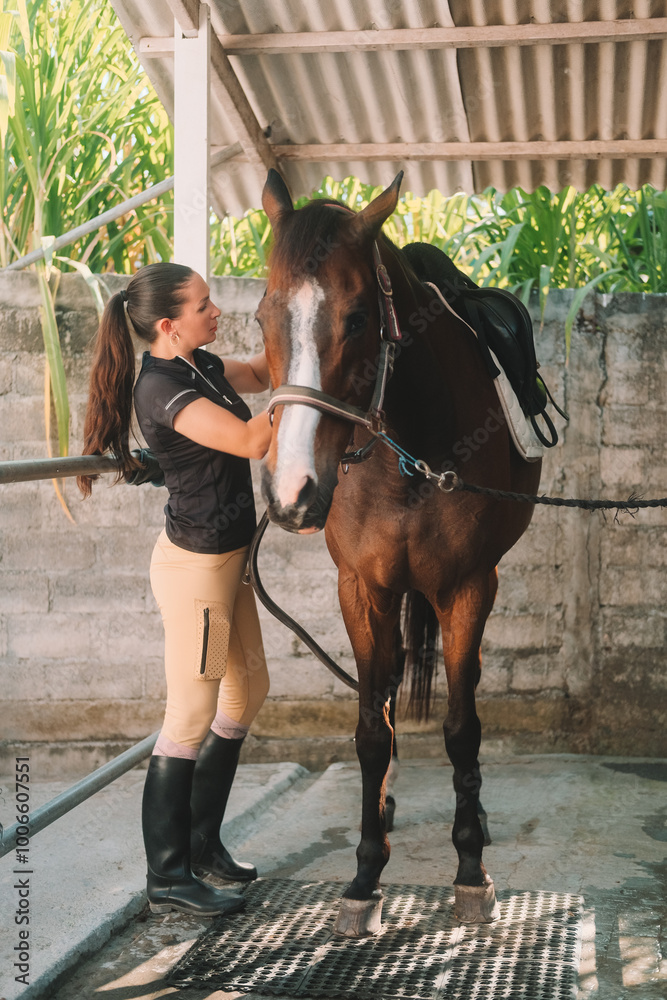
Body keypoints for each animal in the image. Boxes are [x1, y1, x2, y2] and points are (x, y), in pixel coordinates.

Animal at [256, 169, 542, 937]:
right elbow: (370, 730)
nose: (292, 492)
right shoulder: (362, 588)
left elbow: (461, 727)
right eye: (262, 316)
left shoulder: (469, 586)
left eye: (357, 319)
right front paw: (364, 874)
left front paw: (470, 869)